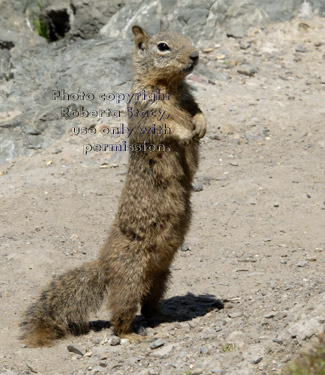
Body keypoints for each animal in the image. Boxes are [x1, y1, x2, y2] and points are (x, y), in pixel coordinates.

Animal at [20, 23, 205, 348]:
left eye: (187, 38)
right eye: (163, 46)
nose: (195, 56)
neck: (170, 86)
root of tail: (105, 265)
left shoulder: (189, 99)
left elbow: (199, 112)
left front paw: (202, 126)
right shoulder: (147, 111)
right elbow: (166, 127)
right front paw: (185, 133)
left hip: (160, 275)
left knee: (150, 304)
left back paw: (164, 316)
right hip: (131, 277)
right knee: (120, 314)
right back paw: (132, 334)